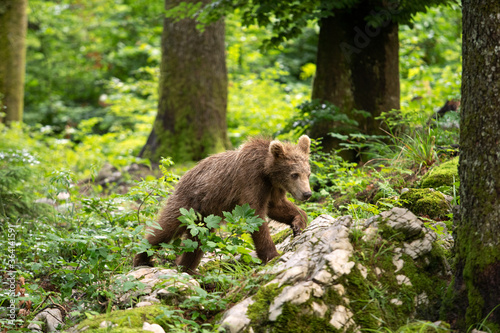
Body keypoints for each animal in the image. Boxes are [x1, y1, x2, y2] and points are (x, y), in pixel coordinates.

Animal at [133, 135, 312, 272]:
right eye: (294, 174)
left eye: (308, 173)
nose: (307, 194)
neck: (267, 171)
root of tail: (182, 176)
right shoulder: (250, 181)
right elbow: (255, 216)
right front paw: (273, 255)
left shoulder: (273, 189)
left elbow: (277, 207)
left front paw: (298, 224)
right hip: (187, 203)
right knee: (166, 227)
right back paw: (142, 258)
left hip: (204, 218)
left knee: (197, 241)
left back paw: (187, 268)